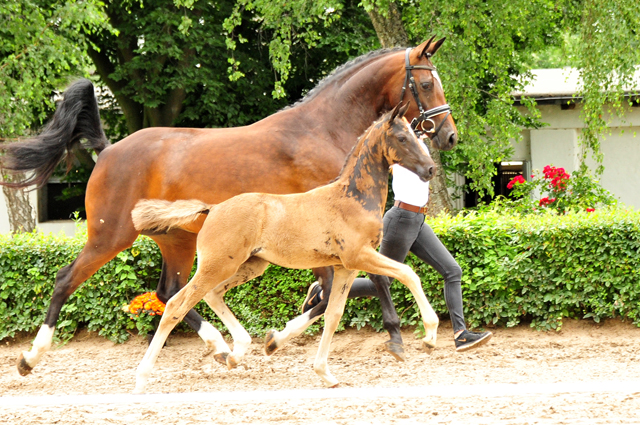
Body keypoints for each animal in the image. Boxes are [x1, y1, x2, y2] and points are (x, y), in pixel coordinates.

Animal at [130, 103, 440, 390]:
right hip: (216, 265)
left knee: (213, 295)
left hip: (249, 265)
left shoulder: (345, 267)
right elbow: (408, 273)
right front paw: (430, 335)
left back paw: (235, 353)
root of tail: (213, 209)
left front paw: (324, 373)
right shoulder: (358, 256)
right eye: (402, 138)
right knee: (176, 304)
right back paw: (143, 378)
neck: (352, 199)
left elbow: (333, 314)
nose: (430, 169)